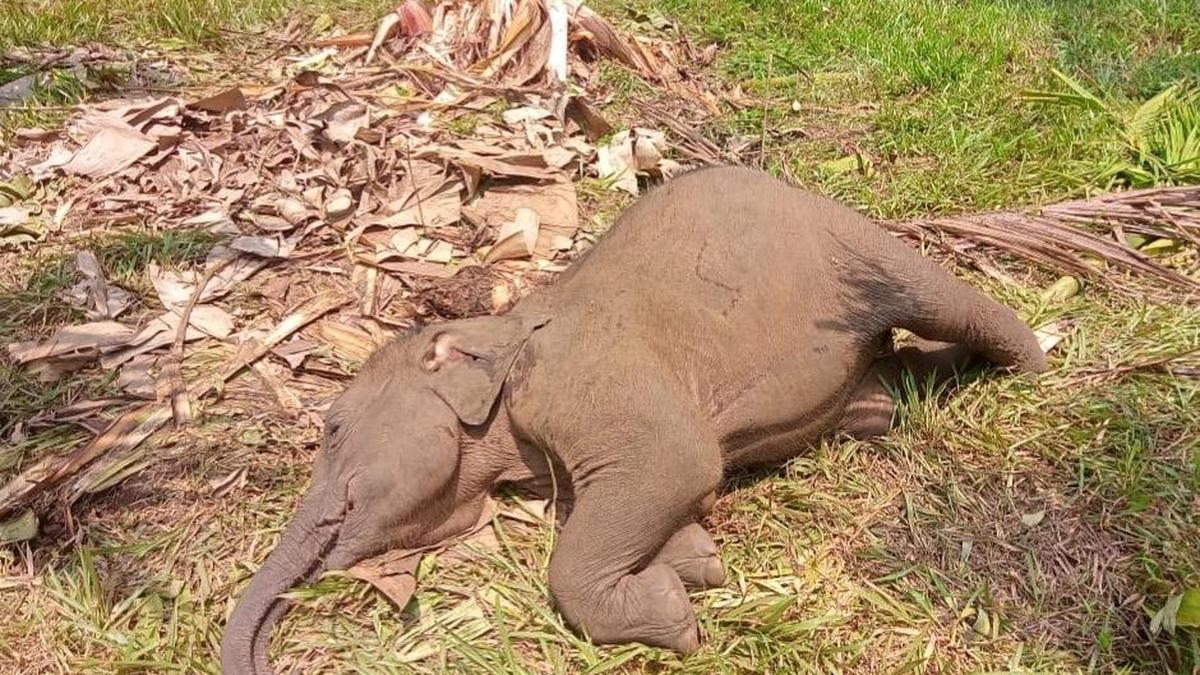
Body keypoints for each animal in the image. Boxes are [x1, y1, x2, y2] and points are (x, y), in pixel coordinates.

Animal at [220, 166, 1046, 673]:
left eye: (331, 428)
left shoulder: (585, 379)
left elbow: (673, 464)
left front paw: (675, 618)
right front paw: (694, 560)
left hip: (859, 243)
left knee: (946, 301)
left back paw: (1030, 364)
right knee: (879, 394)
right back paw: (887, 398)